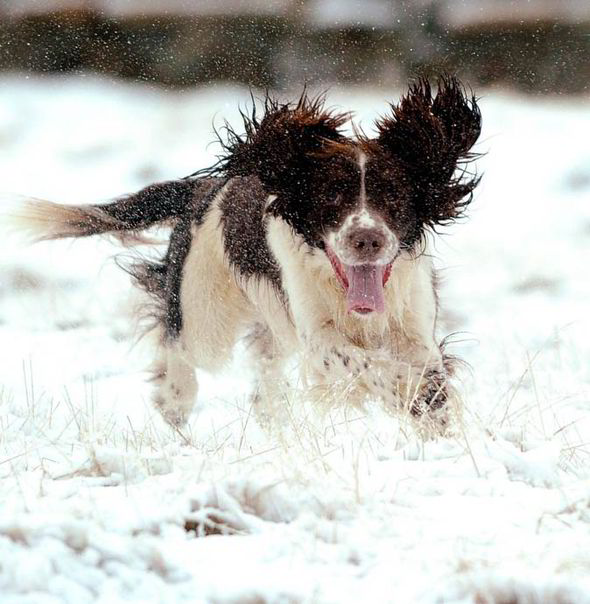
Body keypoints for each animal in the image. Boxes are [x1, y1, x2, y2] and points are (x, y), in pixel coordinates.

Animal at [11, 78, 484, 432]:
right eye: (332, 196)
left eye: (394, 197)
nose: (366, 239)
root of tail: (203, 191)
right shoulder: (318, 337)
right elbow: (366, 363)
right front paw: (415, 395)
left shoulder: (414, 324)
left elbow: (426, 369)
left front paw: (436, 416)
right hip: (205, 312)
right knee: (178, 343)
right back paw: (174, 399)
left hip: (269, 327)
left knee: (263, 376)